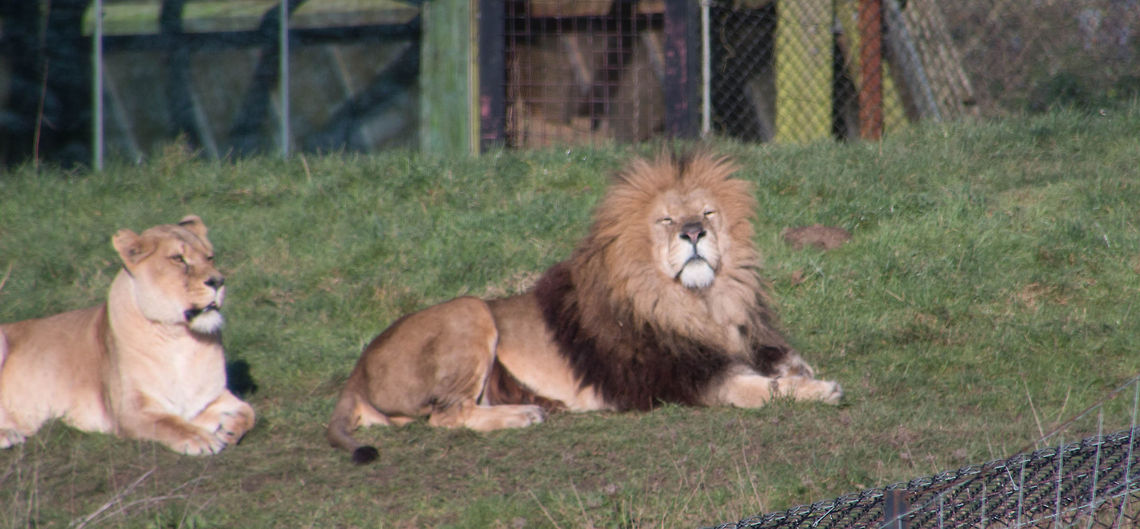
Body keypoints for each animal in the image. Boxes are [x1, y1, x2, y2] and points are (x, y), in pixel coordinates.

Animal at [0, 215, 255, 455]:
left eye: (210, 257)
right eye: (178, 259)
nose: (218, 281)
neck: (179, 338)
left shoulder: (209, 398)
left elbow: (249, 412)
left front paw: (228, 429)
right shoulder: (130, 411)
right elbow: (169, 423)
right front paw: (201, 439)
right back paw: (8, 435)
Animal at [327, 152, 842, 464]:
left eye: (708, 213)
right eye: (666, 219)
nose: (694, 232)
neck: (694, 301)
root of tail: (356, 372)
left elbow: (777, 359)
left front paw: (799, 370)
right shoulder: (684, 380)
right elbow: (760, 389)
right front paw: (817, 390)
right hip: (470, 310)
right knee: (444, 416)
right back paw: (522, 415)